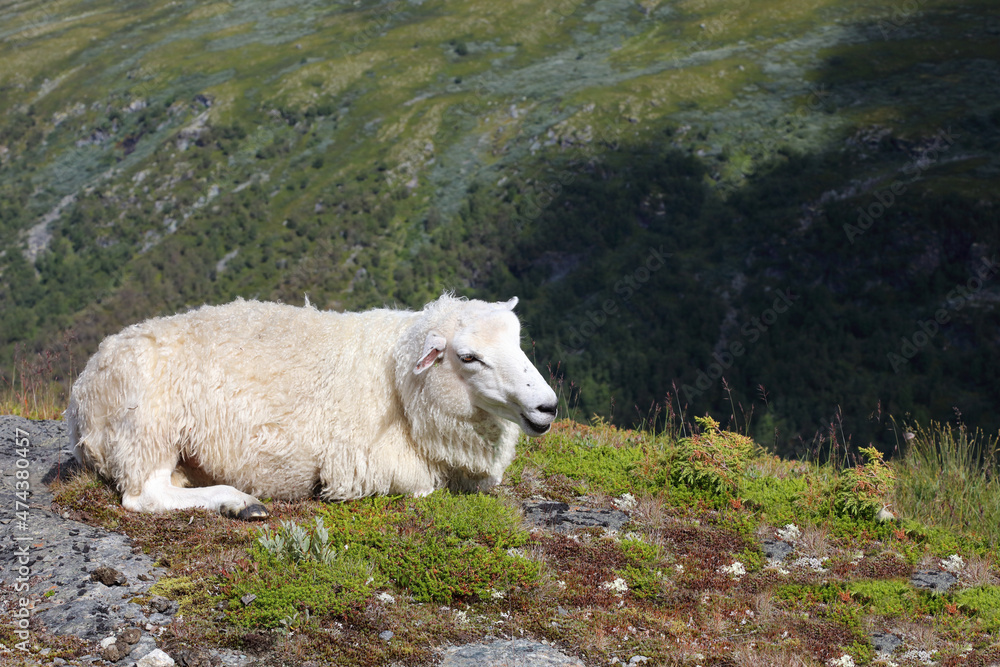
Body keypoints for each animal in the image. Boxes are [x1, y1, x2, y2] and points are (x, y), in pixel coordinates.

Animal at [66, 294, 558, 519]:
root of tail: (81, 393)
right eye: (469, 357)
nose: (548, 406)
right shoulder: (362, 466)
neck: (399, 375)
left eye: (518, 341)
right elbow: (424, 489)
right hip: (147, 429)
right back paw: (240, 501)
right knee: (145, 496)